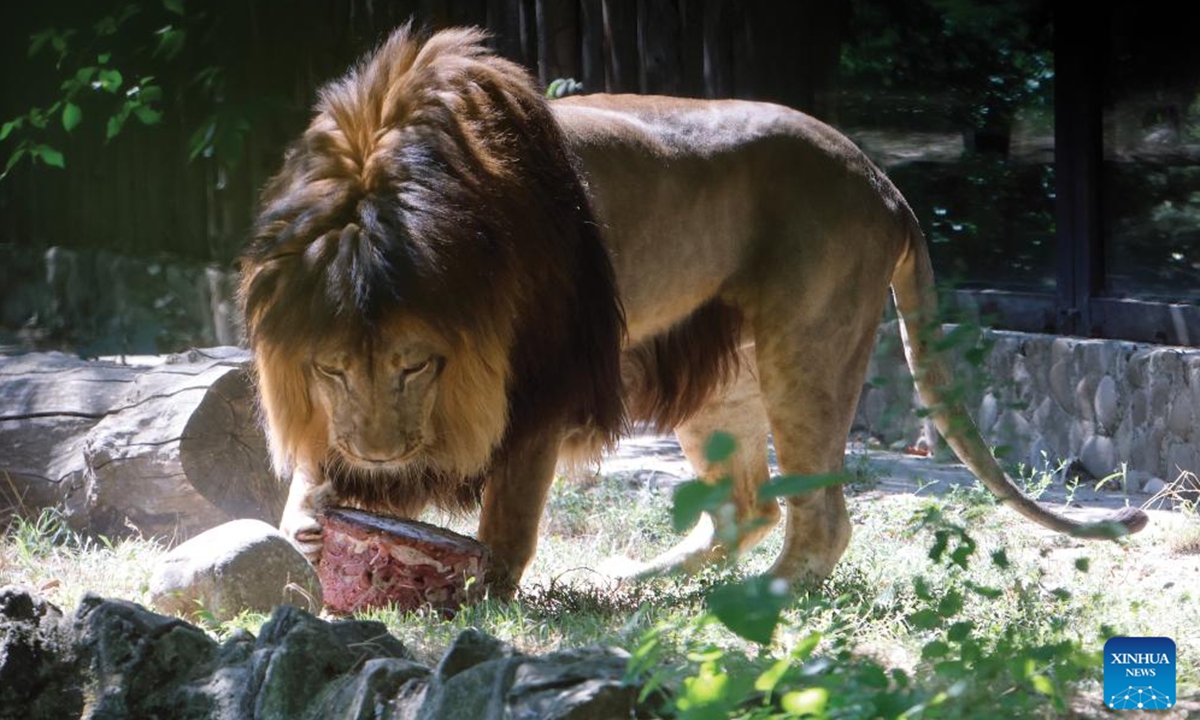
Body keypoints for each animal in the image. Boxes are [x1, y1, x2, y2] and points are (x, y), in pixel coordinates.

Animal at [239, 26, 1147, 594]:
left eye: (415, 364)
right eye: (329, 369)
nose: (382, 455)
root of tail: (882, 182)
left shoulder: (546, 380)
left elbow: (509, 518)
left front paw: (478, 594)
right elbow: (313, 472)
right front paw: (306, 530)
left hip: (806, 348)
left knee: (820, 517)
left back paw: (754, 601)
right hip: (722, 376)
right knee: (749, 507)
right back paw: (638, 579)